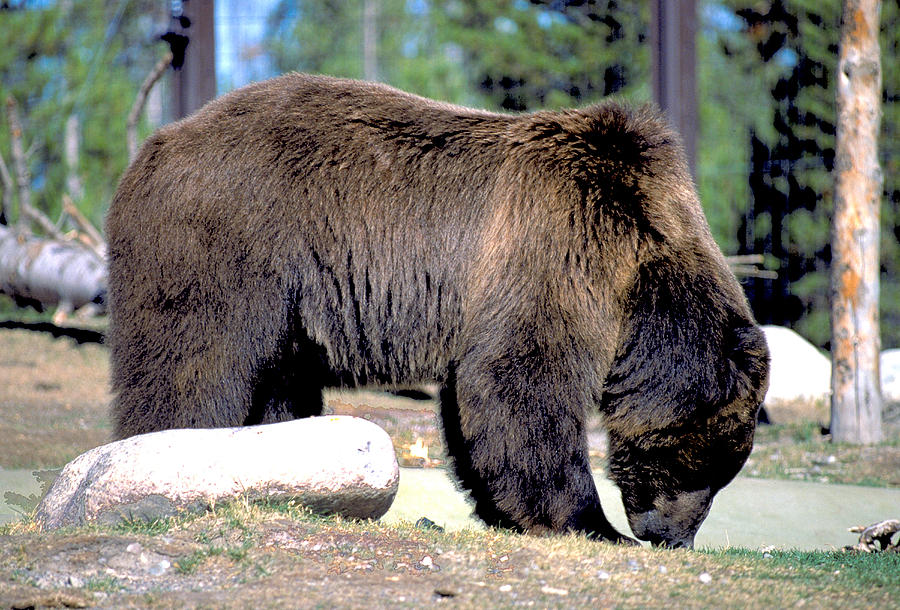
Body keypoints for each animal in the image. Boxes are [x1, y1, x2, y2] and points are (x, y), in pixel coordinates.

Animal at [103, 71, 768, 548]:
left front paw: (507, 510)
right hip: (229, 246)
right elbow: (521, 383)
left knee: (277, 380)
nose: (672, 537)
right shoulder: (561, 249)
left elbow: (479, 405)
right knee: (193, 363)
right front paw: (589, 522)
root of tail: (154, 146)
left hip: (283, 302)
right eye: (705, 465)